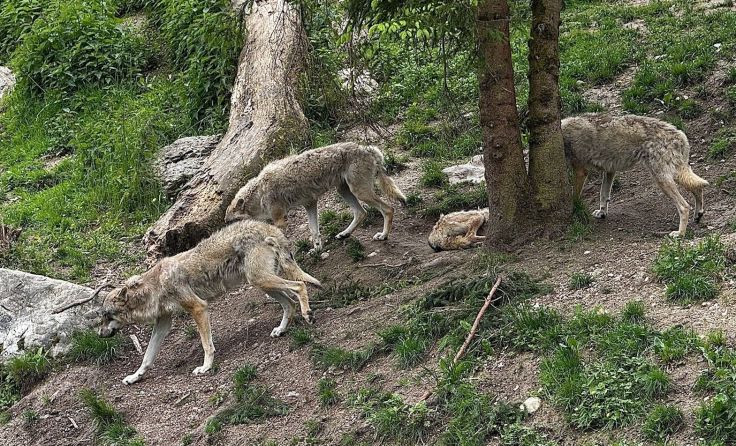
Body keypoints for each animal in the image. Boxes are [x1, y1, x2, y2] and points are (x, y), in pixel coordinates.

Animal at [97, 220, 321, 385]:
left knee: (300, 286)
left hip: (261, 280)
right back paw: (281, 329)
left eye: (107, 316)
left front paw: (206, 367)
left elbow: (207, 345)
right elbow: (147, 357)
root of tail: (267, 226)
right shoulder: (163, 323)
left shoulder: (198, 308)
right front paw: (135, 376)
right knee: (290, 302)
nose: (98, 334)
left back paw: (308, 315)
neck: (155, 287)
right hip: (262, 283)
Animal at [225, 142, 407, 250]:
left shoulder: (280, 220)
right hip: (344, 191)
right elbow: (314, 231)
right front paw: (317, 250)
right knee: (362, 213)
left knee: (388, 209)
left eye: (231, 222)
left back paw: (383, 236)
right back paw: (344, 234)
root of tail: (366, 148)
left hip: (360, 193)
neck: (258, 193)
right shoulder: (310, 204)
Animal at [563, 114, 708, 237]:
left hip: (662, 179)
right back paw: (698, 215)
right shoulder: (609, 170)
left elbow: (575, 197)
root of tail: (680, 134)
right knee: (698, 187)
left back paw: (680, 234)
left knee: (684, 206)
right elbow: (603, 195)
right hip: (675, 175)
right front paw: (602, 212)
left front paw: (574, 210)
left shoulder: (581, 171)